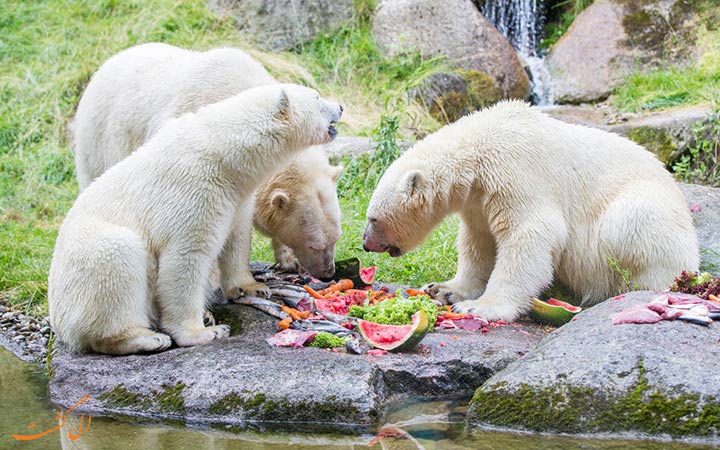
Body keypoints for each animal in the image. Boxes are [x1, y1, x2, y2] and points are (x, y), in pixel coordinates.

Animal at [49, 82, 344, 354]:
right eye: (317, 97)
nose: (340, 107)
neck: (223, 153)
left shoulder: (235, 195)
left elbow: (236, 237)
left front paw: (252, 287)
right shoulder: (194, 189)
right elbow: (185, 257)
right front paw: (202, 333)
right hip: (89, 262)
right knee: (118, 260)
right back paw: (146, 337)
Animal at [362, 100, 700, 322]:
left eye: (372, 218)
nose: (365, 243)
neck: (477, 150)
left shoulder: (515, 172)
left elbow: (529, 236)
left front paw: (480, 307)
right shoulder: (479, 200)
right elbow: (479, 243)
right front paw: (444, 290)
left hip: (648, 214)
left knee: (629, 226)